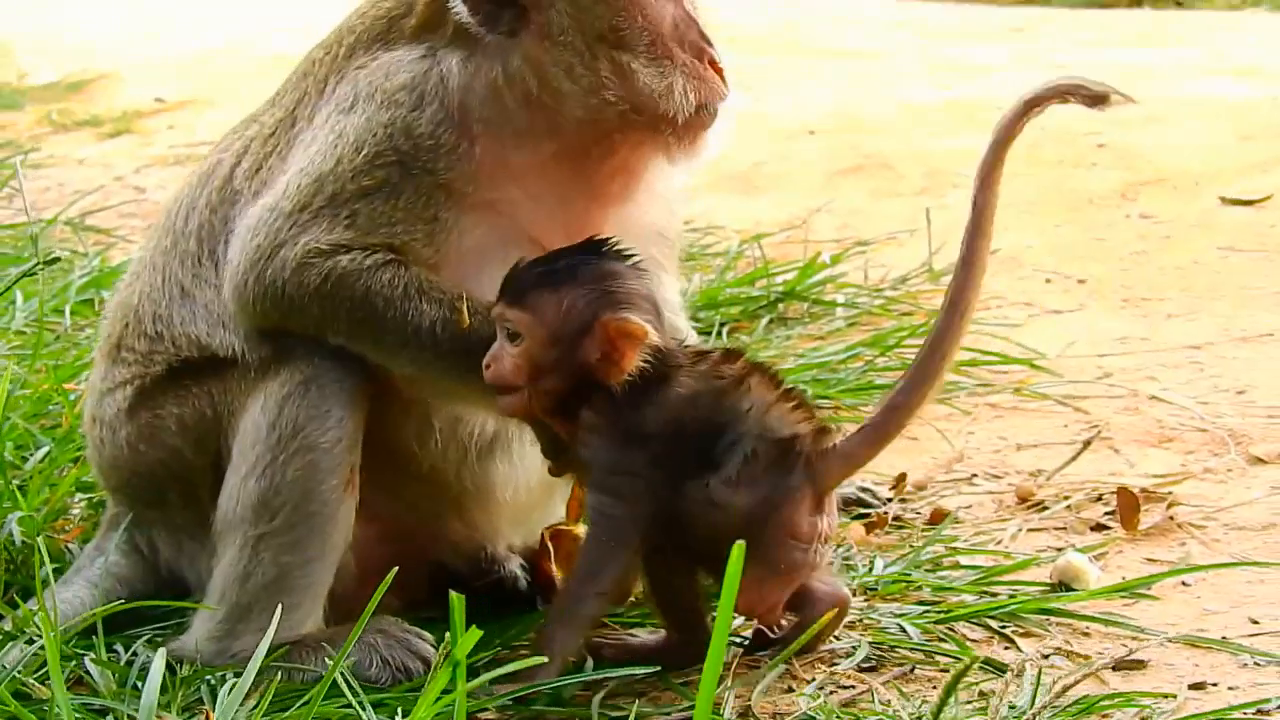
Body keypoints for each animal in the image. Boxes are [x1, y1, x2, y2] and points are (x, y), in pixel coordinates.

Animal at [2, 0, 742, 681]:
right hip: (165, 458)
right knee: (314, 365)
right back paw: (264, 652)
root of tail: (129, 510)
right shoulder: (402, 113)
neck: (538, 118)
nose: (712, 58)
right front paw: (568, 392)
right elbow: (283, 268)